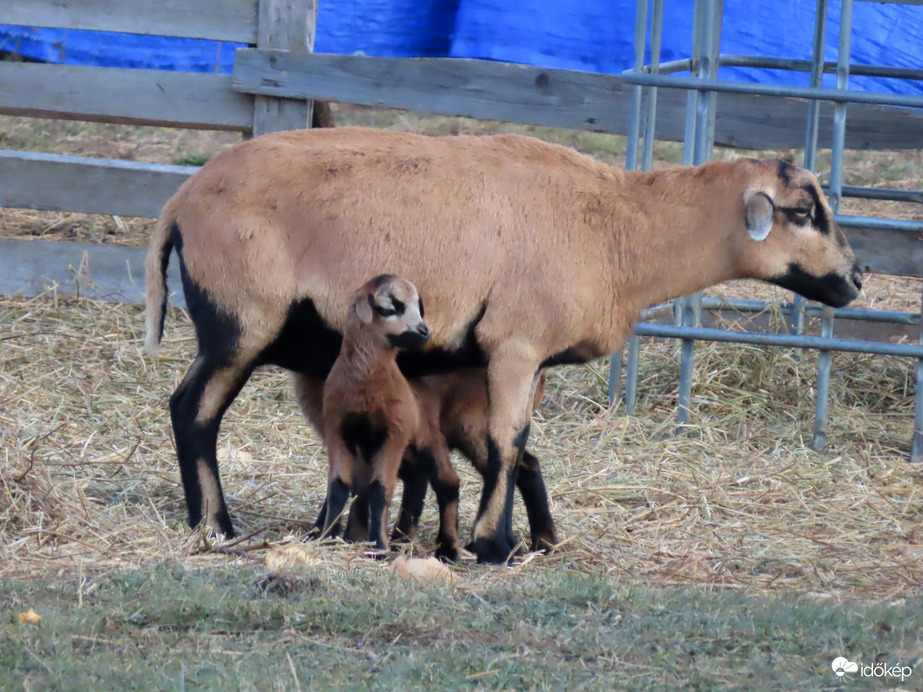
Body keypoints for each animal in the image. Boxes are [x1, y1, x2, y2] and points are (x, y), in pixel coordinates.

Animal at [143, 127, 860, 564]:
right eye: (803, 213)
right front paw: (495, 542)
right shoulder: (516, 344)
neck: (622, 230)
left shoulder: (527, 361)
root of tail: (179, 198)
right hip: (240, 323)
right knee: (191, 410)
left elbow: (509, 449)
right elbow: (508, 442)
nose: (856, 280)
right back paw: (213, 525)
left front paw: (533, 536)